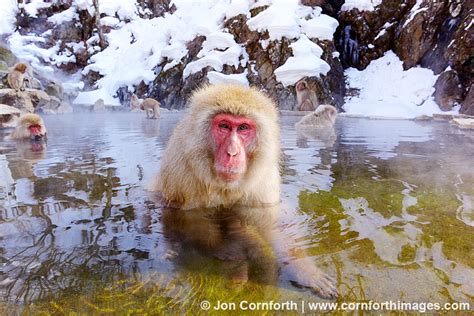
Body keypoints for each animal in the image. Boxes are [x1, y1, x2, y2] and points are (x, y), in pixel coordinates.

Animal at [150, 84, 338, 298]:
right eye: (224, 126)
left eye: (243, 128)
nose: (232, 153)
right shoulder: (182, 171)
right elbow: (187, 218)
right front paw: (225, 248)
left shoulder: (263, 179)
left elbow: (269, 221)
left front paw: (305, 271)